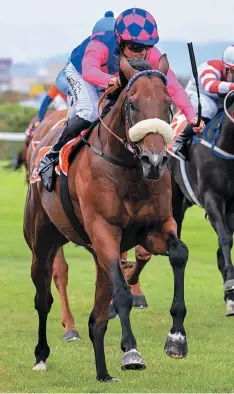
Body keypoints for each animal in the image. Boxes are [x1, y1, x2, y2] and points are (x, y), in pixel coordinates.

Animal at [23, 56, 188, 382]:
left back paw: (102, 373)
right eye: (132, 105)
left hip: (95, 254)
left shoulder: (157, 227)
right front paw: (131, 351)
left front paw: (176, 338)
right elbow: (122, 293)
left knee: (96, 319)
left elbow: (179, 253)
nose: (154, 161)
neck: (128, 169)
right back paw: (41, 356)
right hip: (43, 242)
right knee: (43, 297)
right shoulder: (104, 231)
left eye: (168, 104)